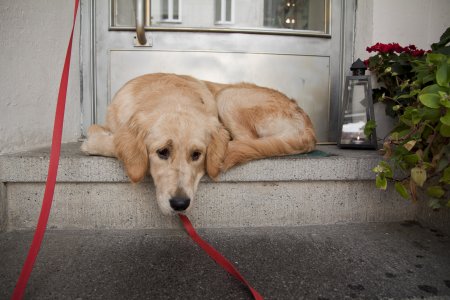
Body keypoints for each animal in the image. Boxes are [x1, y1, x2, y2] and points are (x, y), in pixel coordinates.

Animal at [82, 74, 316, 216]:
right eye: (162, 152)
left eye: (197, 154)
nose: (180, 204)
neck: (168, 93)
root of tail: (309, 128)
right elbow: (101, 131)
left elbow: (104, 141)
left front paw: (94, 140)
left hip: (228, 96)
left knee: (247, 140)